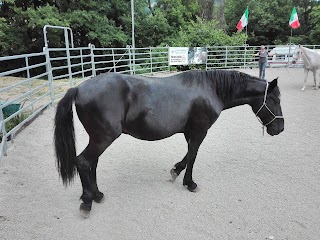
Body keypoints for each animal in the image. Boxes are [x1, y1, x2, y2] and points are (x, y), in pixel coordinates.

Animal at [53, 69, 284, 216]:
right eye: (275, 100)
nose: (279, 128)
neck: (209, 90)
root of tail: (79, 88)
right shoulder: (200, 131)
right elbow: (193, 155)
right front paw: (189, 183)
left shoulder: (190, 132)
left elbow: (188, 155)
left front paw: (175, 171)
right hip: (104, 138)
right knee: (84, 162)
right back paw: (87, 201)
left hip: (98, 138)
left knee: (92, 163)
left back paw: (97, 195)